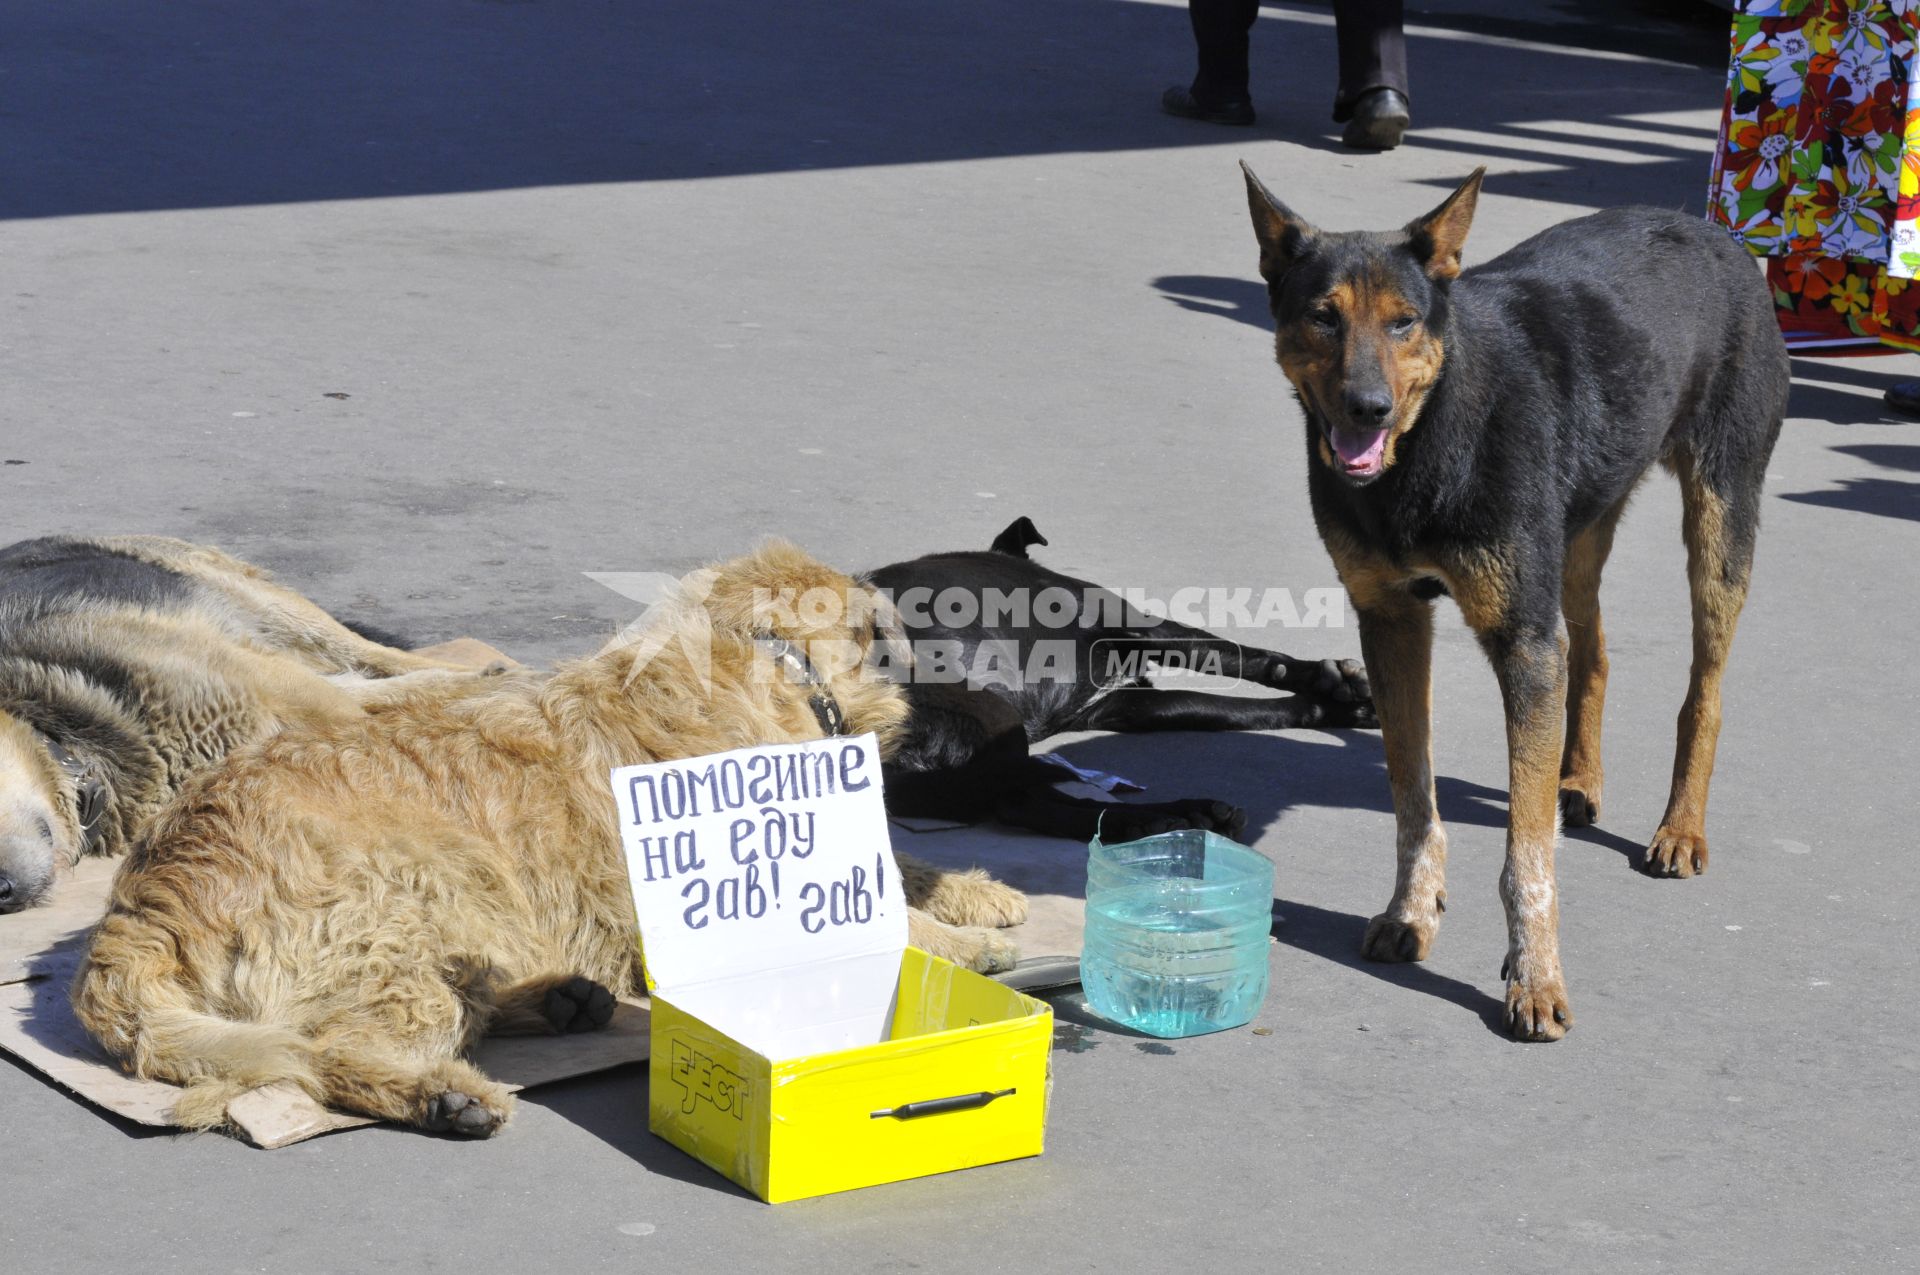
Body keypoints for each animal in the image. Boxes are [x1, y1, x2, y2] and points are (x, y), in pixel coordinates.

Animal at [74, 541, 1029, 1136]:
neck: (763, 664)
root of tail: (143, 905)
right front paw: (960, 943)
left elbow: (899, 865)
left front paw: (976, 893)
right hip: (429, 886)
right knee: (337, 1048)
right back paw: (444, 1095)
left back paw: (563, 998)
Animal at [1236, 164, 1789, 1044]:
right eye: (1323, 316)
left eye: (1403, 321)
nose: (1366, 409)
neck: (1426, 445)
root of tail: (1712, 229)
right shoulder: (1393, 620)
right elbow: (1413, 799)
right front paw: (1411, 909)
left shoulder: (1522, 637)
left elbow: (1525, 854)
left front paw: (1535, 976)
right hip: (1576, 534)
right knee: (1592, 650)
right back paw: (1579, 778)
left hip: (1719, 515)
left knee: (1704, 688)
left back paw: (1679, 826)